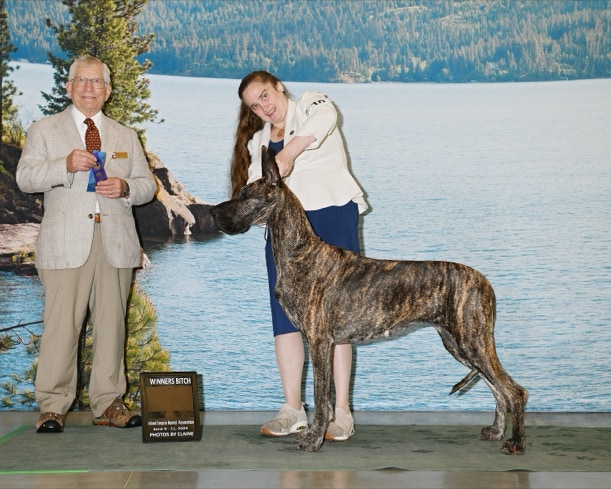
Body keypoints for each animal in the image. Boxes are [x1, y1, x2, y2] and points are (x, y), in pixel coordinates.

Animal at [210, 147, 528, 454]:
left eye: (245, 196)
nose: (213, 213)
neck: (299, 251)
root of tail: (483, 281)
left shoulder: (319, 341)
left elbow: (321, 396)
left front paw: (314, 440)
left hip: (472, 341)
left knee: (514, 391)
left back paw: (515, 443)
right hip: (459, 344)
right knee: (497, 389)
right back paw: (496, 432)